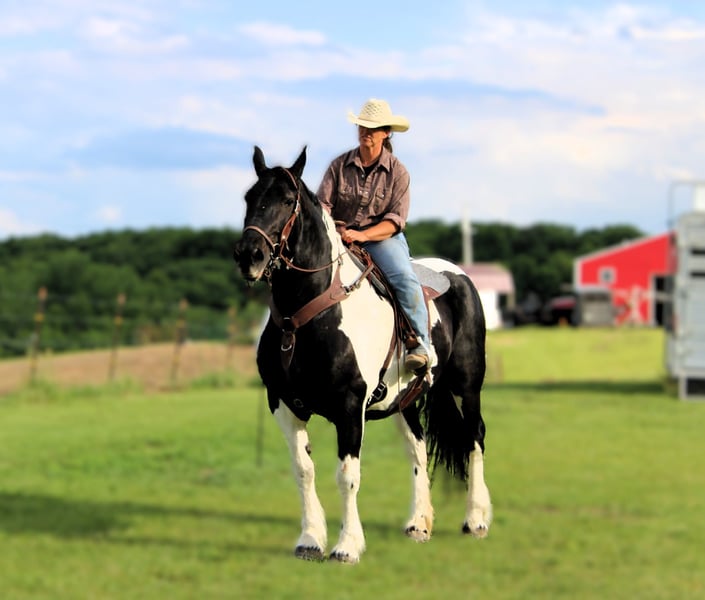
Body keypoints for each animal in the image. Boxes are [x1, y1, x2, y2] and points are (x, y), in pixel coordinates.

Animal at [232, 146, 492, 564]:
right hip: (406, 400)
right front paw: (310, 540)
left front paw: (347, 546)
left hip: (466, 386)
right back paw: (418, 524)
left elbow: (347, 475)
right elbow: (303, 470)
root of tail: (458, 275)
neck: (302, 318)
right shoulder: (283, 404)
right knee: (418, 448)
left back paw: (476, 519)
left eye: (287, 201)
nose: (248, 255)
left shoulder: (350, 406)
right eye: (249, 198)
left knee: (474, 438)